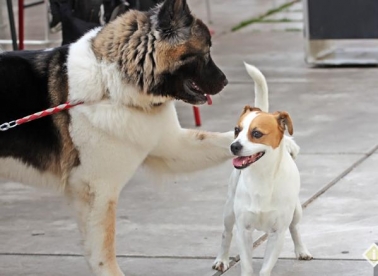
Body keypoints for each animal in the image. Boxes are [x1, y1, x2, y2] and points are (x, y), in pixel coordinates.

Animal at [213, 64, 314, 276]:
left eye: (257, 133)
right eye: (236, 130)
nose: (234, 146)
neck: (262, 177)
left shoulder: (277, 233)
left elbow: (266, 267)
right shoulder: (243, 230)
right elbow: (246, 264)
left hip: (296, 211)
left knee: (295, 228)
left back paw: (301, 250)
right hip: (229, 210)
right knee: (226, 233)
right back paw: (222, 259)